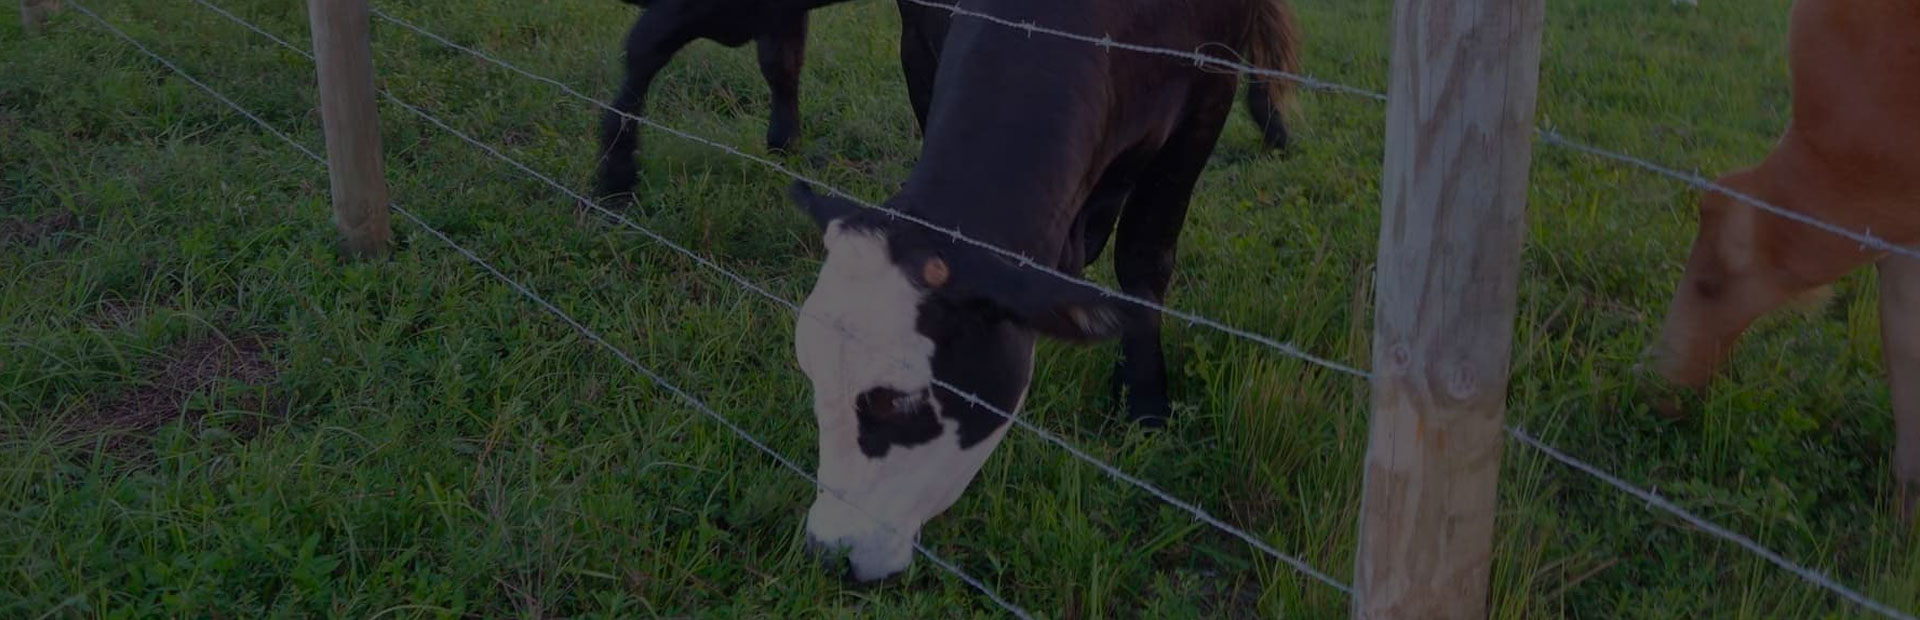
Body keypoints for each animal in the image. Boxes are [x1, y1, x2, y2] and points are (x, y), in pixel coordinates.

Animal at [783, 0, 1305, 583]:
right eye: (810, 371)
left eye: (898, 401)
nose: (827, 550)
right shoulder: (918, 36)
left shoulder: (1208, 90)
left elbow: (1144, 258)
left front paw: (1145, 404)